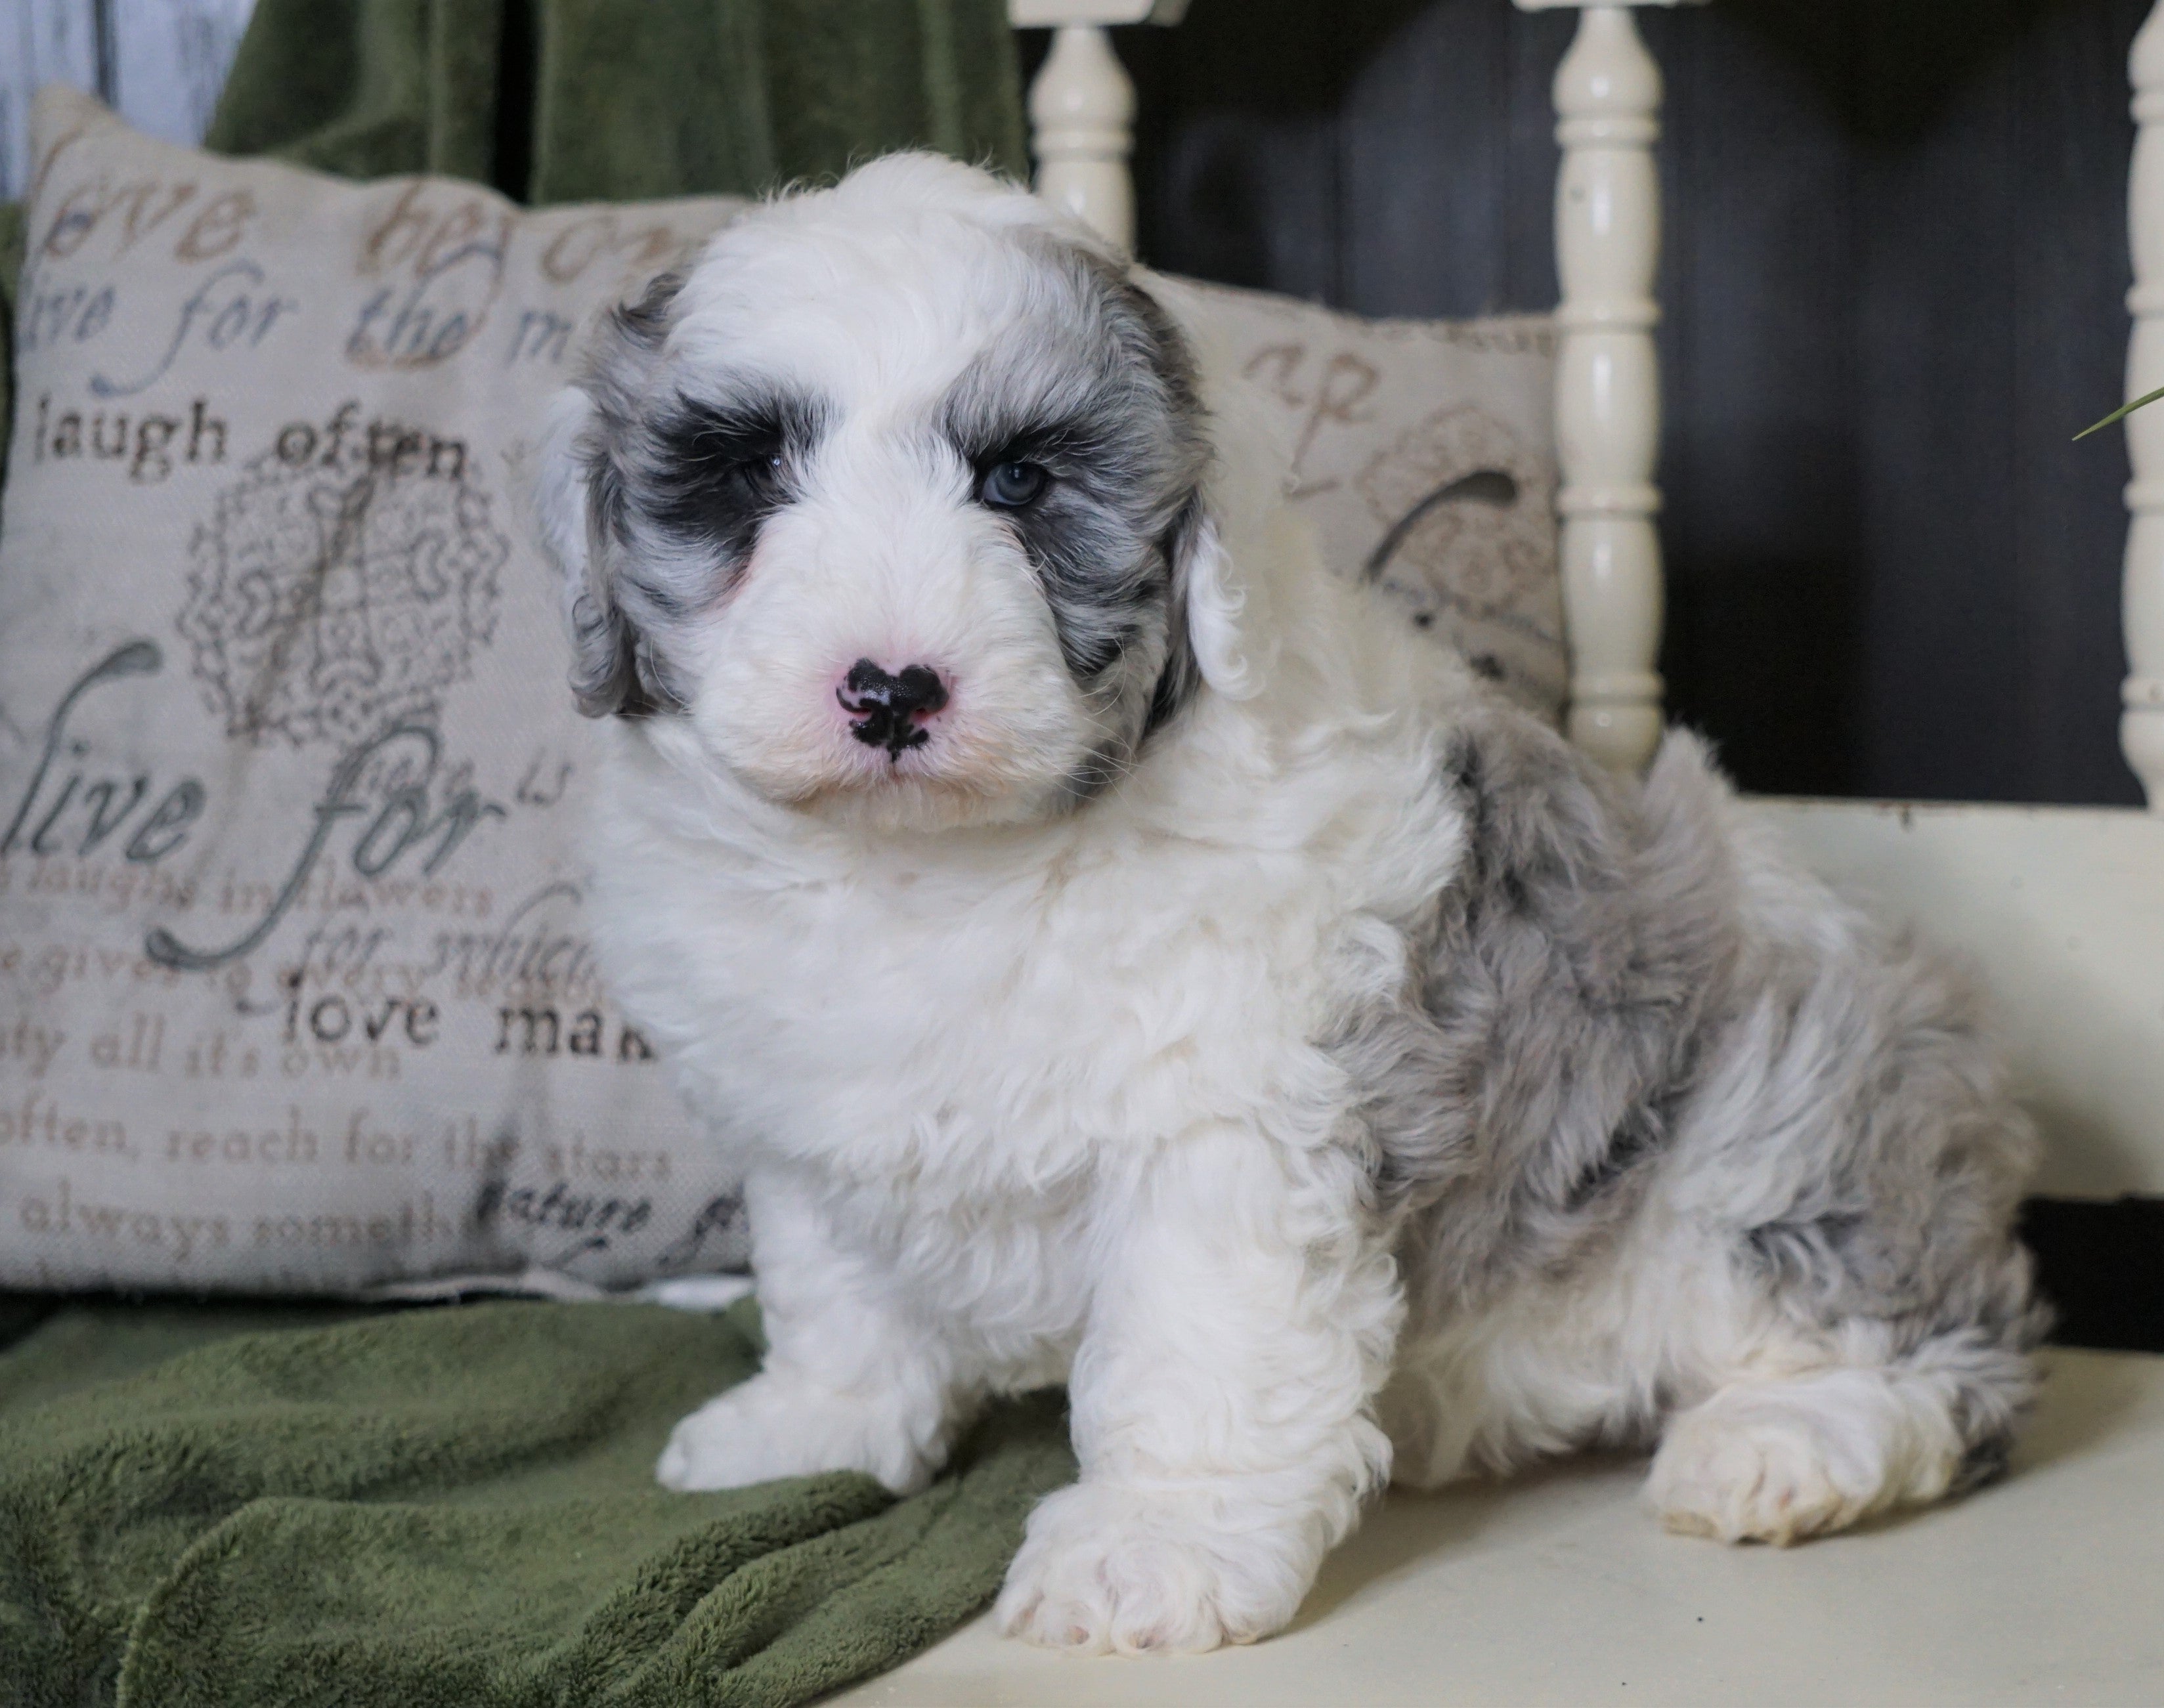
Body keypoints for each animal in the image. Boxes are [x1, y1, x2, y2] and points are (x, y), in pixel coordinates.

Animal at [528, 154, 2043, 1645]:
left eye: (1019, 479)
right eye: (747, 473)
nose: (893, 690)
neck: (941, 865)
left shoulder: (1232, 1121)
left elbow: (1197, 1337)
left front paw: (1152, 1547)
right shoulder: (804, 1127)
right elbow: (836, 1291)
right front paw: (815, 1428)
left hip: (1778, 1127)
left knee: (1936, 1338)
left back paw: (1782, 1443)